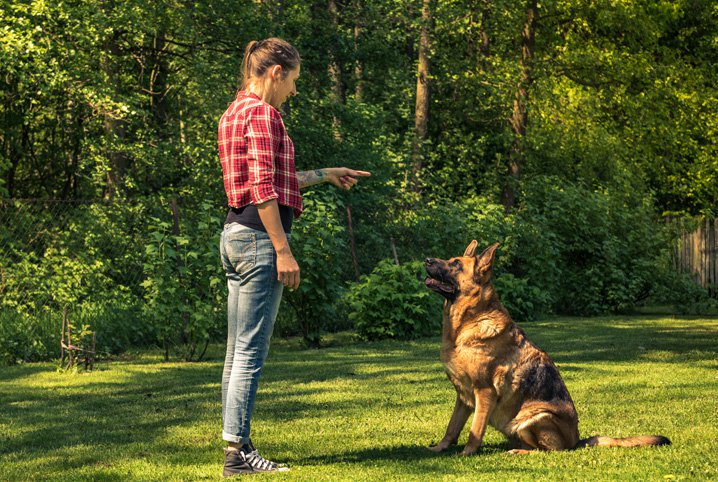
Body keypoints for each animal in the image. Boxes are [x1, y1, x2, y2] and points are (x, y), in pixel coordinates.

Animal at [424, 241, 672, 456]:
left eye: (456, 264)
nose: (426, 259)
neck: (466, 324)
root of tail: (576, 441)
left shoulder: (484, 392)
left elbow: (475, 430)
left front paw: (466, 453)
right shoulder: (463, 397)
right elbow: (452, 427)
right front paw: (438, 449)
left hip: (533, 417)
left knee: (546, 451)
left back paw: (519, 452)